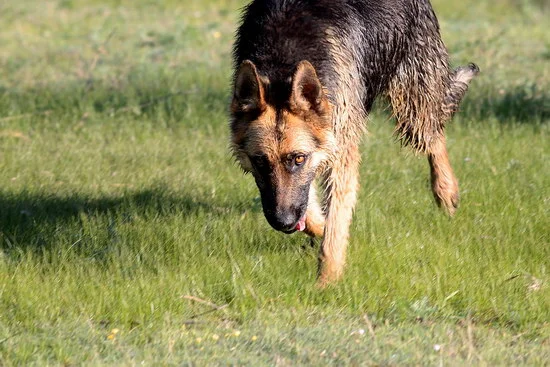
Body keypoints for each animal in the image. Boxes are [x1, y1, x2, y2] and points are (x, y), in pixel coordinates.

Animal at [229, 0, 478, 286]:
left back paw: (445, 190)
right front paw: (321, 229)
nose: (284, 223)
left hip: (411, 102)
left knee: (434, 133)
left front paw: (327, 281)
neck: (282, 66)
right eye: (259, 161)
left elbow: (335, 223)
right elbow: (314, 211)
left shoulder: (340, 152)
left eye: (298, 159)